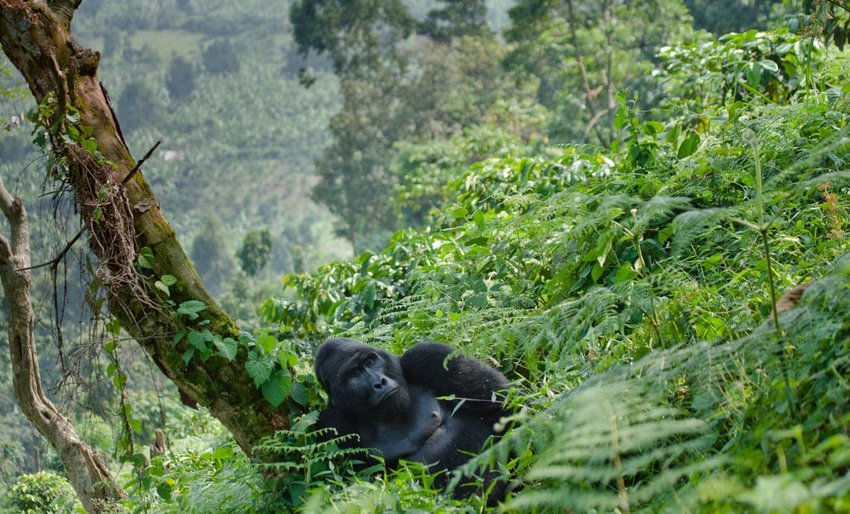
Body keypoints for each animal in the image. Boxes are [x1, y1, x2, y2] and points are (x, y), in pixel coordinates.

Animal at [314, 338, 506, 478]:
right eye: (356, 373)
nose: (380, 383)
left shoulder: (427, 356)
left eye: (370, 361)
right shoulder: (333, 422)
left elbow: (501, 405)